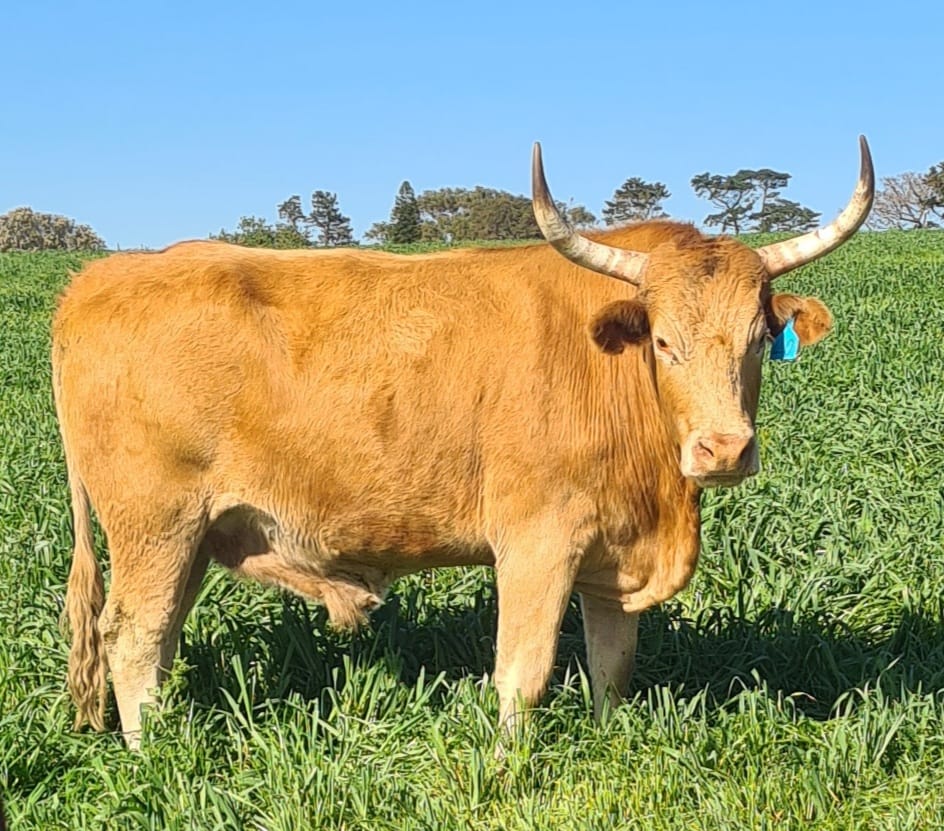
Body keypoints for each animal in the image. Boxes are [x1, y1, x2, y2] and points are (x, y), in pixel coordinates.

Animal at [54, 138, 873, 747]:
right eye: (665, 342)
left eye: (758, 339)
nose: (724, 450)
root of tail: (96, 279)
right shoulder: (538, 541)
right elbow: (523, 674)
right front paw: (511, 766)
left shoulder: (612, 549)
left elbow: (612, 665)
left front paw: (609, 739)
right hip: (156, 524)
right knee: (132, 637)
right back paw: (154, 754)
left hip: (192, 534)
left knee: (158, 637)